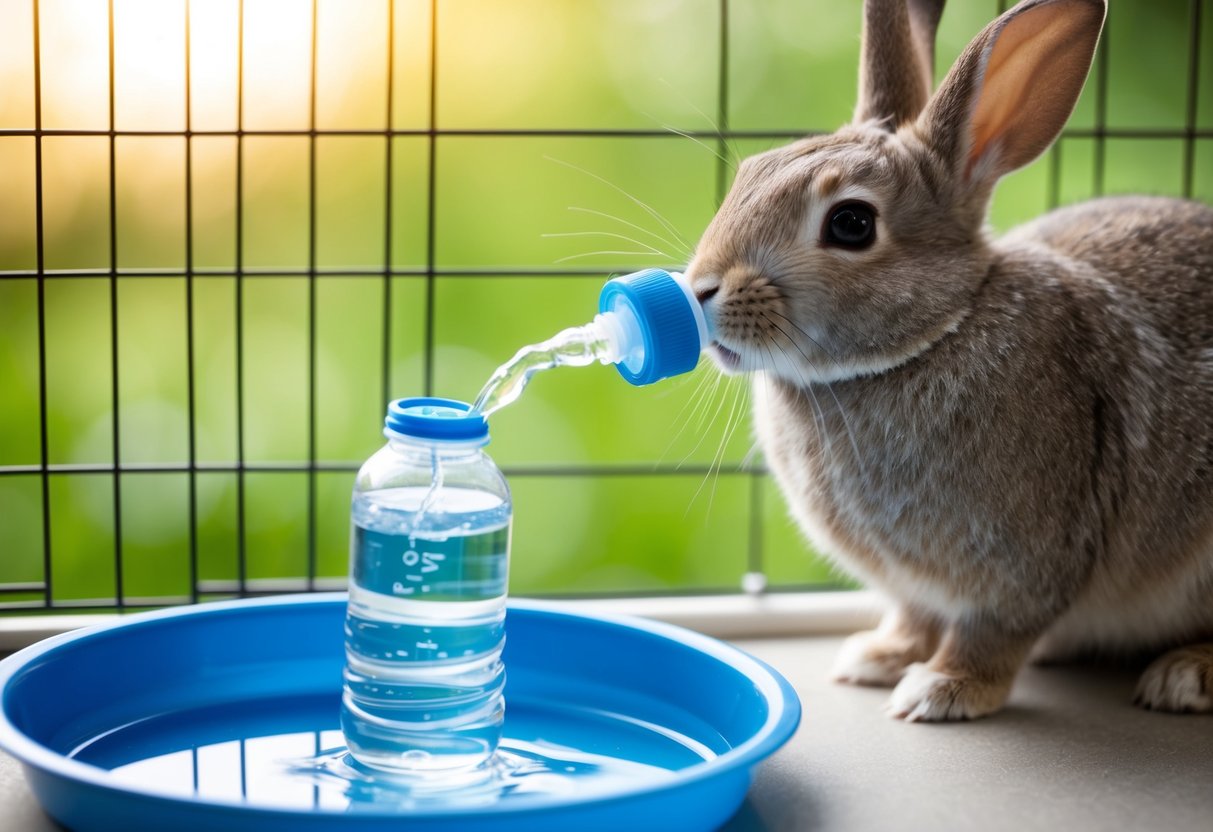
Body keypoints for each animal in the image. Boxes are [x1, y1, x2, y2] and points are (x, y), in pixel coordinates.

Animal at [684, 0, 1213, 717]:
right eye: (749, 175)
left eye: (851, 224)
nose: (699, 289)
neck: (933, 334)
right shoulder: (913, 587)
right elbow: (915, 617)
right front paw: (878, 658)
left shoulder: (1025, 566)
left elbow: (992, 633)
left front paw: (940, 690)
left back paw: (1183, 675)